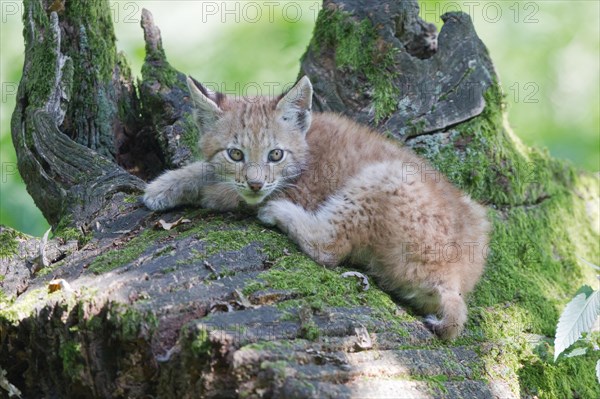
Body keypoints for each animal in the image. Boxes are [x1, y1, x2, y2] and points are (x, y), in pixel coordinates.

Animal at [143, 76, 490, 340]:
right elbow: (208, 170)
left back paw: (278, 213)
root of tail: (454, 278)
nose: (255, 183)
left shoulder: (296, 191)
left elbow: (222, 189)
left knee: (329, 247)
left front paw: (192, 187)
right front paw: (165, 186)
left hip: (386, 176)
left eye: (275, 155)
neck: (305, 144)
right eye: (236, 154)